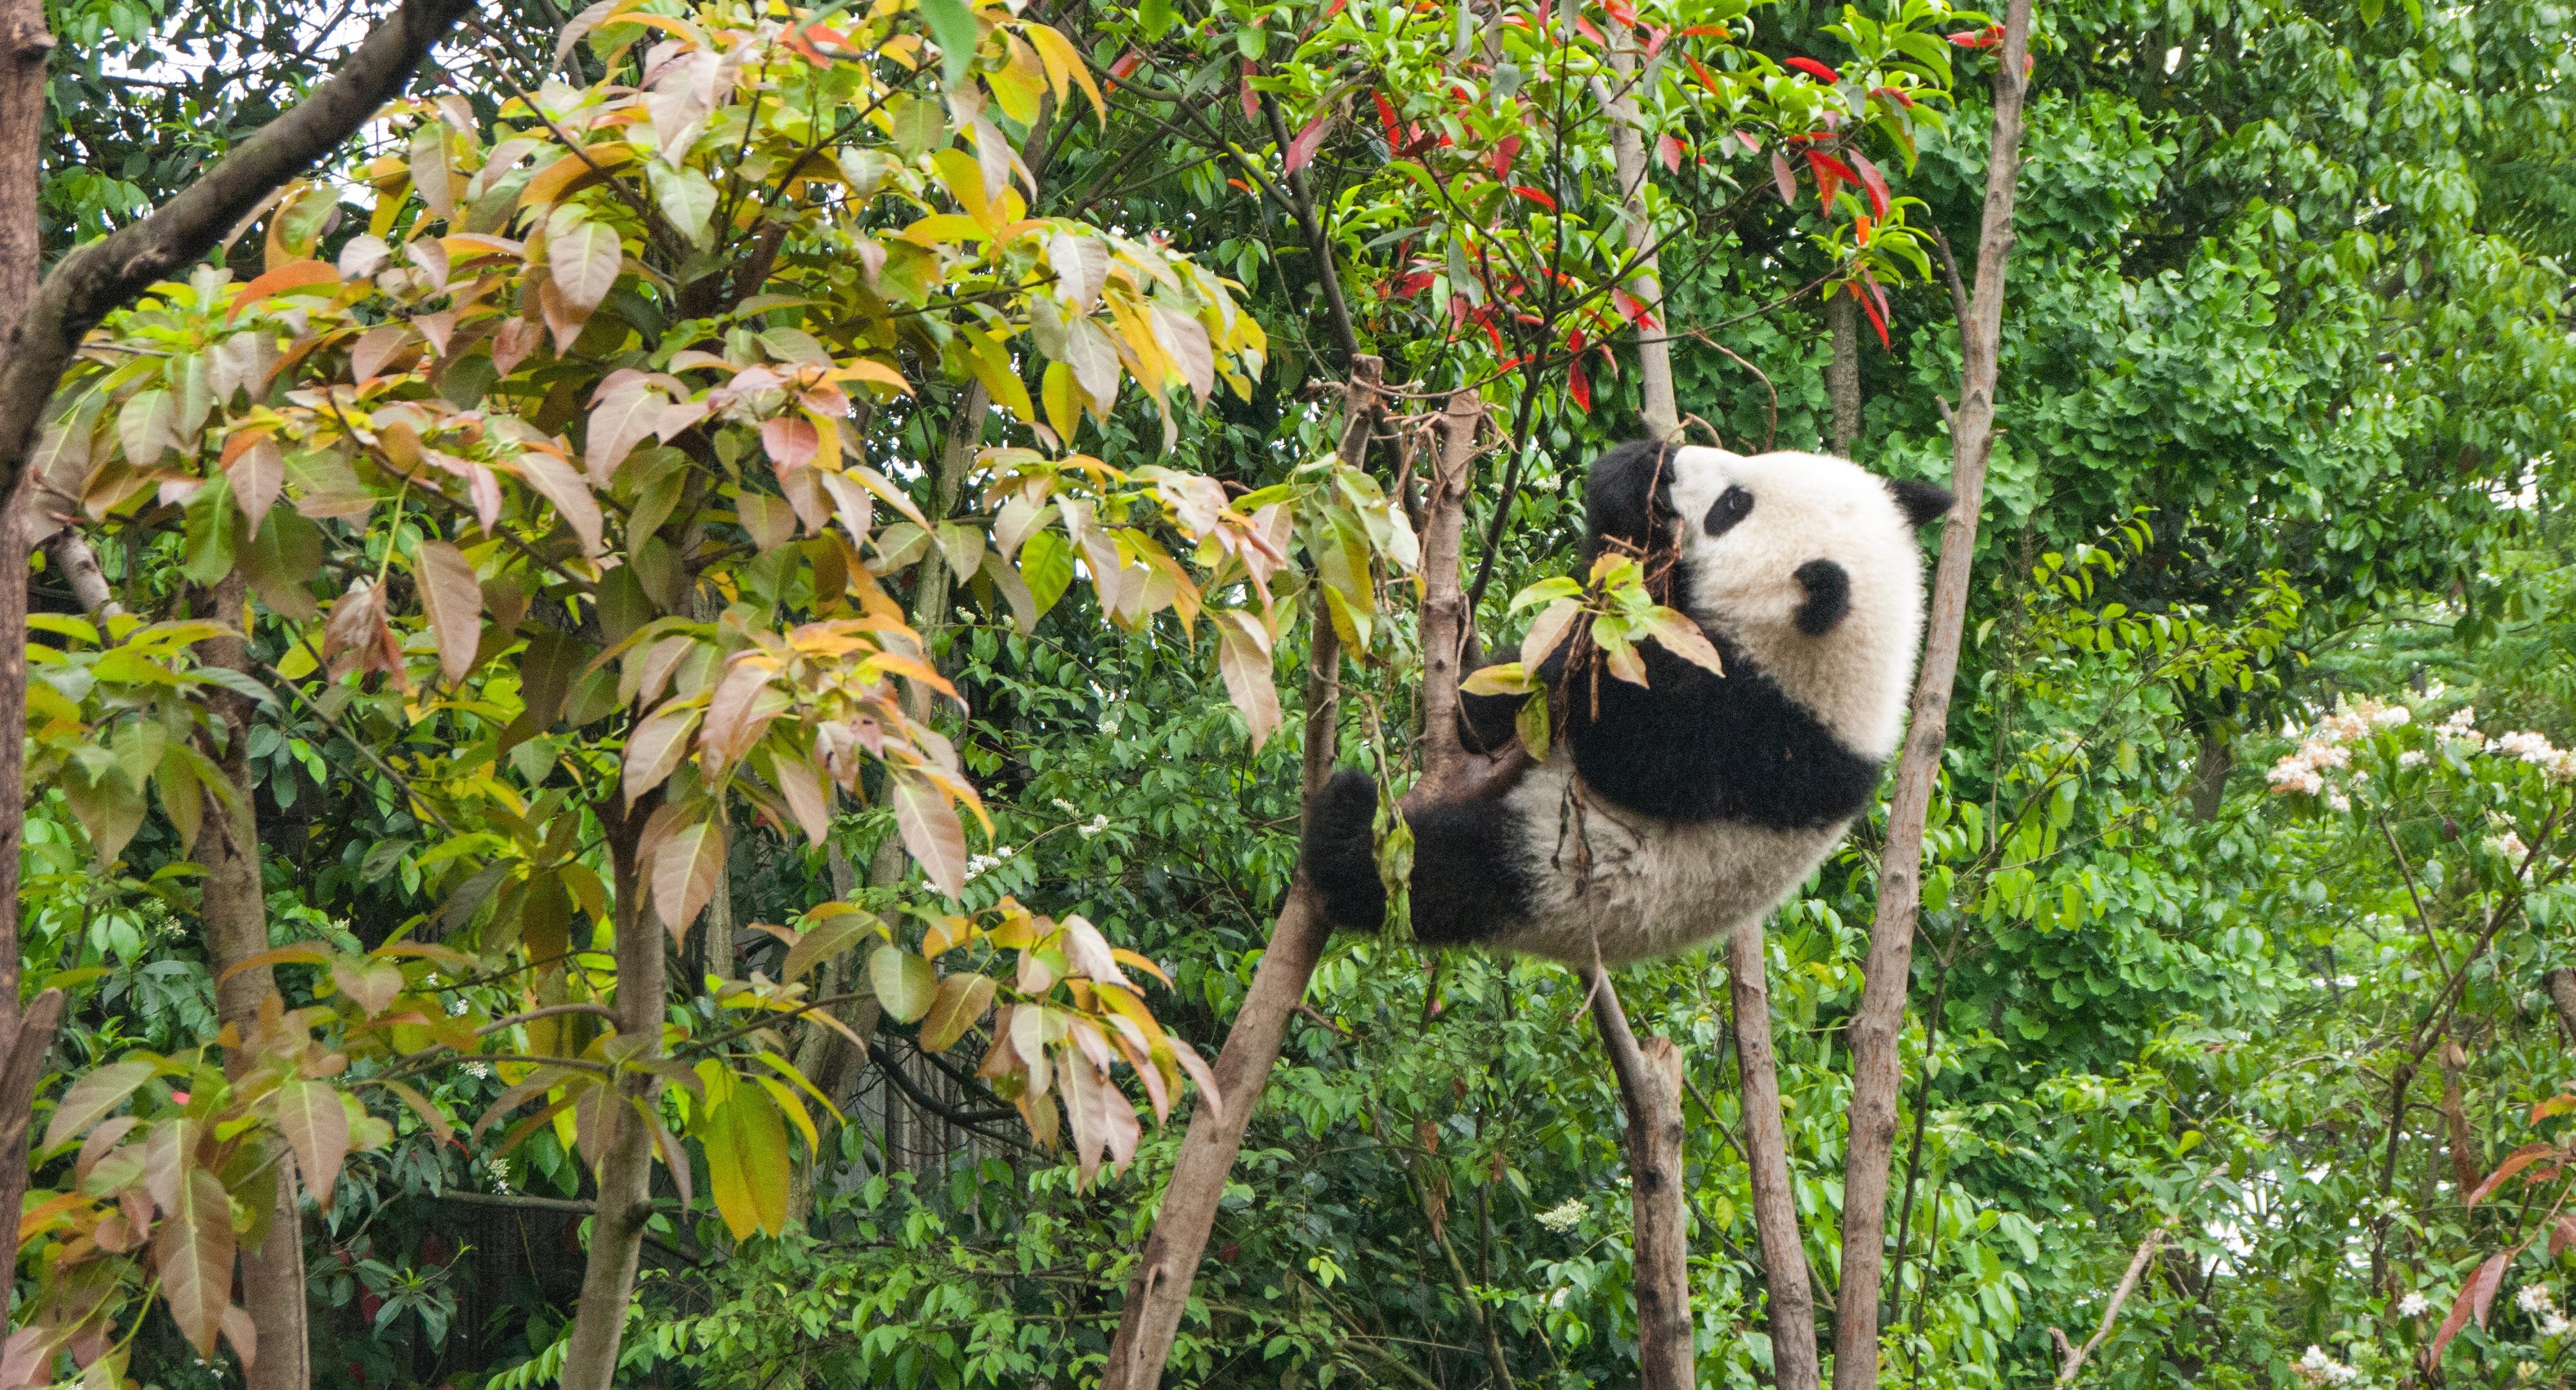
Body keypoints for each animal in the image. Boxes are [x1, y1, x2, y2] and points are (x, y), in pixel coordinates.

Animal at [1300, 440, 1952, 965]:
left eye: (1732, 507)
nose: (1678, 461)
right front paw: (1631, 475)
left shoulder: (1762, 739)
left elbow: (1628, 747)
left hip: (1558, 875)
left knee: (1440, 874)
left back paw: (1346, 826)